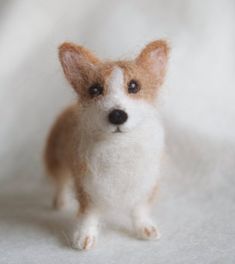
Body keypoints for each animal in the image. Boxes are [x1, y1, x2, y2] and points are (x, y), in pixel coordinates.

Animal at [44, 40, 169, 251]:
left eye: (134, 86)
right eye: (95, 90)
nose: (117, 115)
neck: (119, 146)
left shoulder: (145, 184)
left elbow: (140, 209)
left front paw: (145, 228)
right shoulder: (87, 187)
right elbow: (88, 214)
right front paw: (84, 237)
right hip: (56, 160)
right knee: (60, 182)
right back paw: (59, 202)